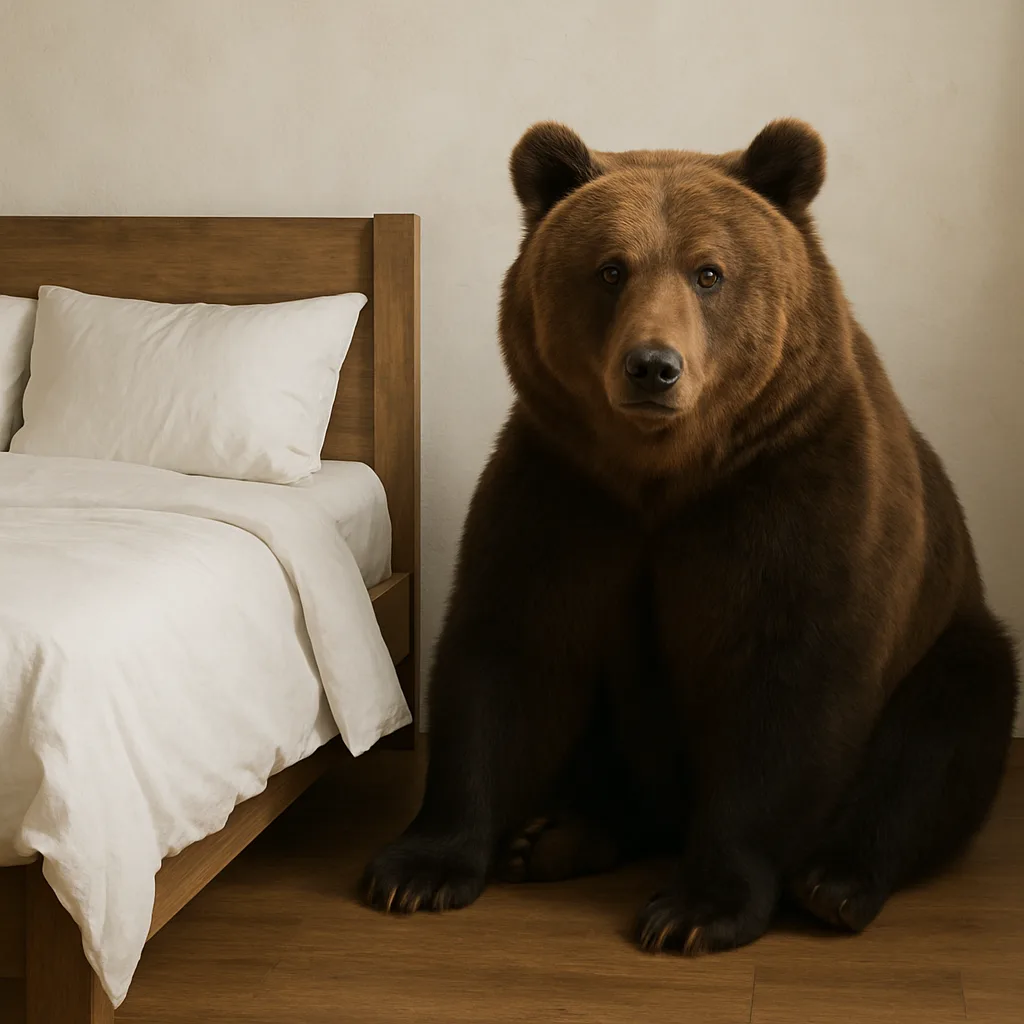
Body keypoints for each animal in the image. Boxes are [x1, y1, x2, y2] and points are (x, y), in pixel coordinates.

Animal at [361, 119, 1019, 954]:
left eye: (709, 272)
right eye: (611, 268)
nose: (653, 366)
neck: (666, 476)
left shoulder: (797, 494)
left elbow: (789, 689)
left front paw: (697, 909)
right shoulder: (565, 497)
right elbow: (508, 653)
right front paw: (418, 868)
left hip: (952, 640)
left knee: (941, 736)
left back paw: (835, 881)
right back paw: (553, 837)